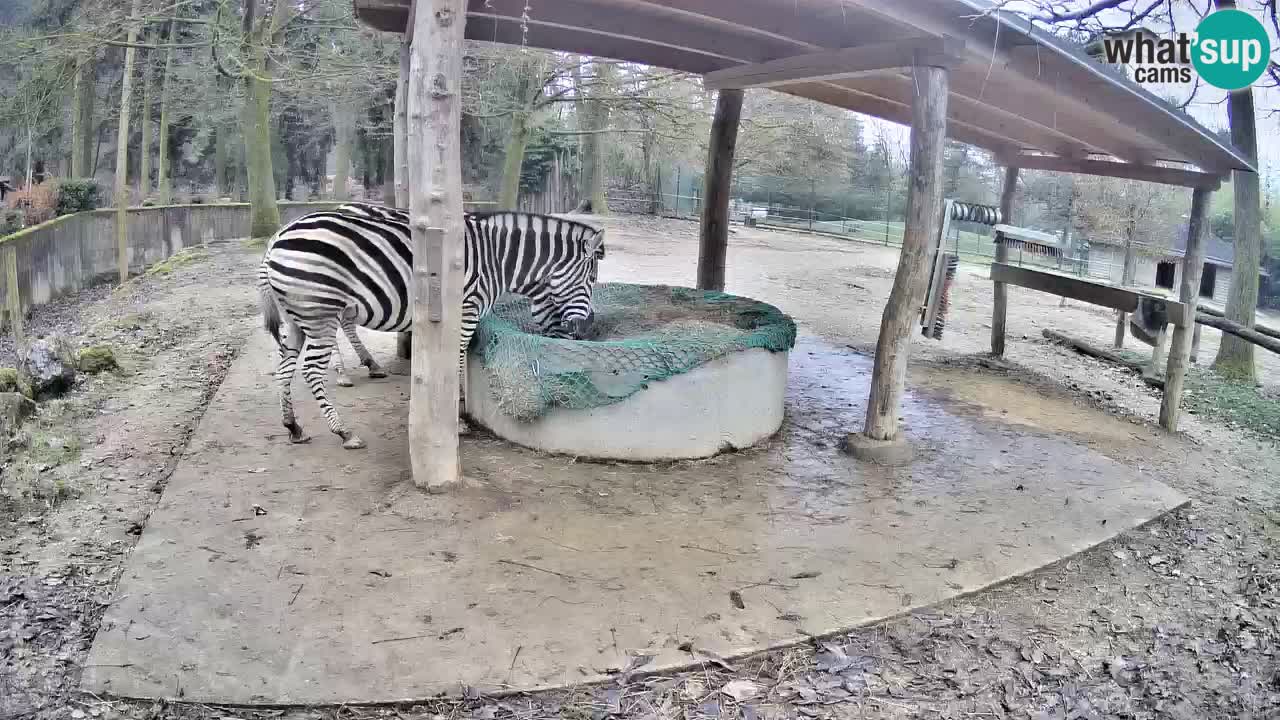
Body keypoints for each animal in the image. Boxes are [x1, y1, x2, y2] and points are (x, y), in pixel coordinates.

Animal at [258, 204, 606, 449]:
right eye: (591, 279)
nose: (586, 331)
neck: (497, 260)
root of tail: (277, 238)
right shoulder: (466, 310)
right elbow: (460, 359)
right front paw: (460, 418)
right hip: (320, 311)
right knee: (311, 369)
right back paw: (344, 430)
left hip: (296, 317)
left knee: (285, 367)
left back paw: (293, 427)